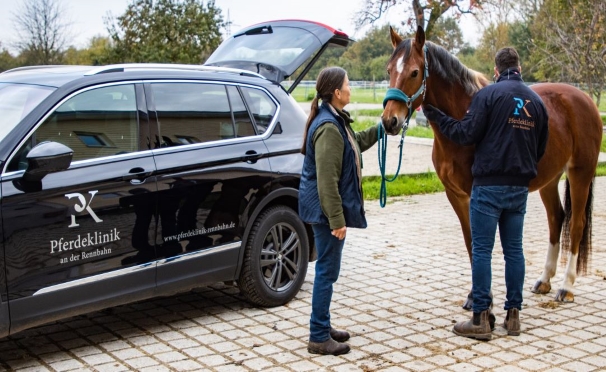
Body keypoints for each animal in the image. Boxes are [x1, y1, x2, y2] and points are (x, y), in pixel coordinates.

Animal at [382, 26, 604, 310]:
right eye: (389, 70)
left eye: (414, 72)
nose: (389, 121)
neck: (462, 118)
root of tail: (584, 99)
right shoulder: (455, 195)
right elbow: (471, 242)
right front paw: (473, 295)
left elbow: (481, 243)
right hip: (550, 179)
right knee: (556, 218)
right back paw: (545, 280)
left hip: (580, 173)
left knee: (576, 224)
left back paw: (566, 286)